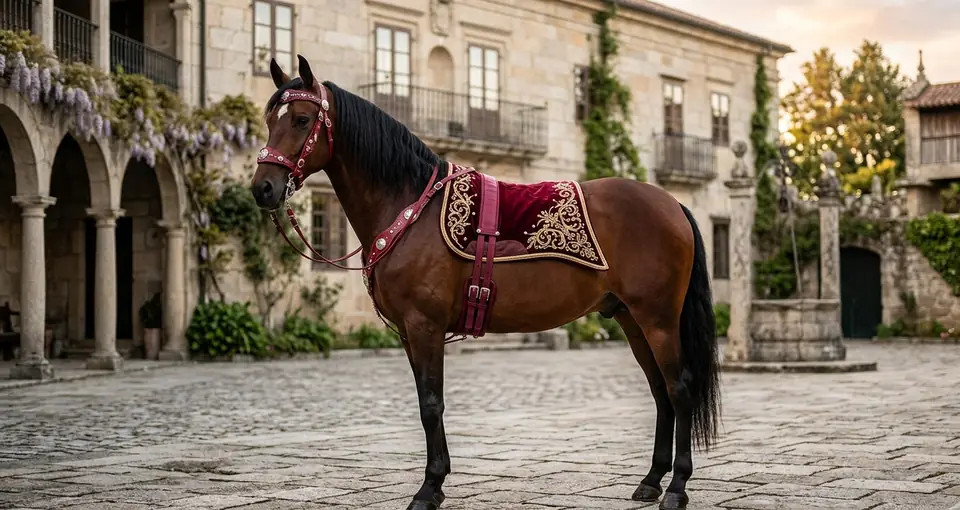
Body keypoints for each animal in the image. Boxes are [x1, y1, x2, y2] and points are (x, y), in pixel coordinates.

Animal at [250, 55, 721, 510]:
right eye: (271, 119)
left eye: (302, 120)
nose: (263, 188)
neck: (410, 206)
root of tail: (672, 203)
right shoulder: (407, 332)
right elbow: (427, 403)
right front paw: (438, 482)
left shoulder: (424, 326)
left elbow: (431, 404)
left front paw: (428, 489)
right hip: (631, 319)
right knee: (660, 392)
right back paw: (651, 480)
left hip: (658, 320)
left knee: (679, 390)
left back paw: (677, 487)